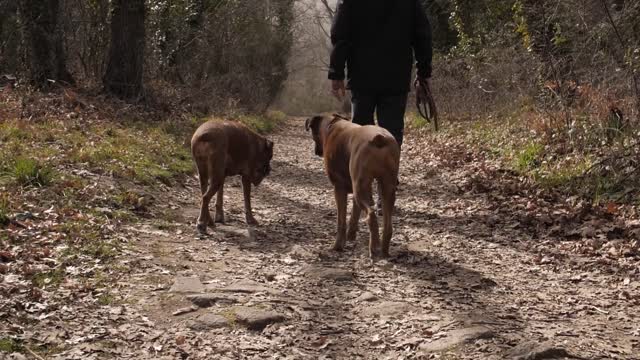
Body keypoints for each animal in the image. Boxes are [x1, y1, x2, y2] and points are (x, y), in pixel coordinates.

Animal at [304, 114, 400, 258]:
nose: (317, 152)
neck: (332, 125)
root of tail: (379, 138)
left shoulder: (339, 188)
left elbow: (341, 220)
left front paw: (338, 246)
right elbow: (354, 214)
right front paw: (351, 236)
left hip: (361, 189)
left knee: (371, 216)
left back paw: (373, 248)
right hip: (386, 188)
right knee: (387, 224)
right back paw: (384, 250)